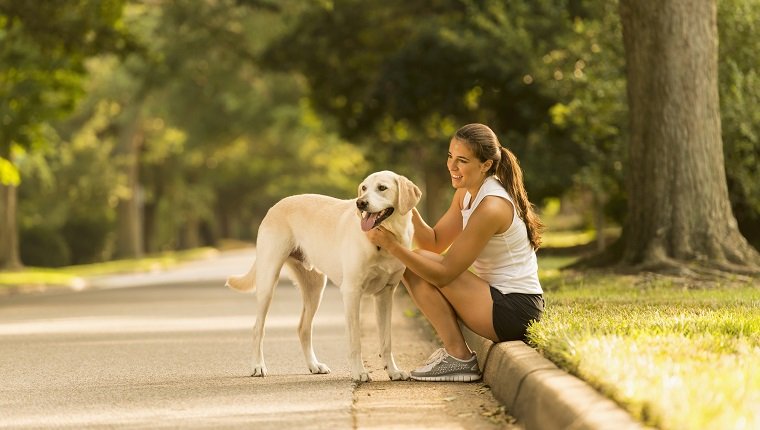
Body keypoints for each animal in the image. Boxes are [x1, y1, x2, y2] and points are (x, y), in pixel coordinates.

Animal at [229, 170, 424, 382]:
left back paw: (314, 365)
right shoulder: (352, 292)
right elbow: (355, 341)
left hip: (315, 289)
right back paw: (258, 366)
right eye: (364, 188)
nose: (360, 203)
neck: (385, 239)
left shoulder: (386, 294)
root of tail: (275, 206)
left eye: (382, 188)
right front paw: (359, 372)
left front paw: (393, 371)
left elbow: (387, 341)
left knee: (303, 328)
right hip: (268, 281)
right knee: (258, 328)